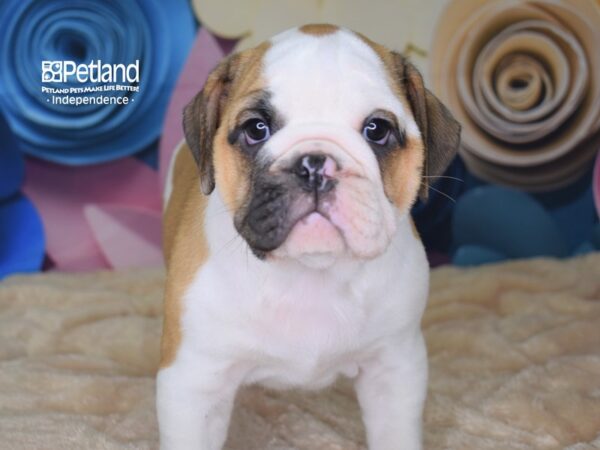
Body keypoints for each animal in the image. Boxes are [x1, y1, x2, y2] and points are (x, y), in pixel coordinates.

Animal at [157, 24, 462, 450]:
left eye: (377, 130)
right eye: (256, 129)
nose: (315, 164)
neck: (311, 272)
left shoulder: (395, 368)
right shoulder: (193, 381)